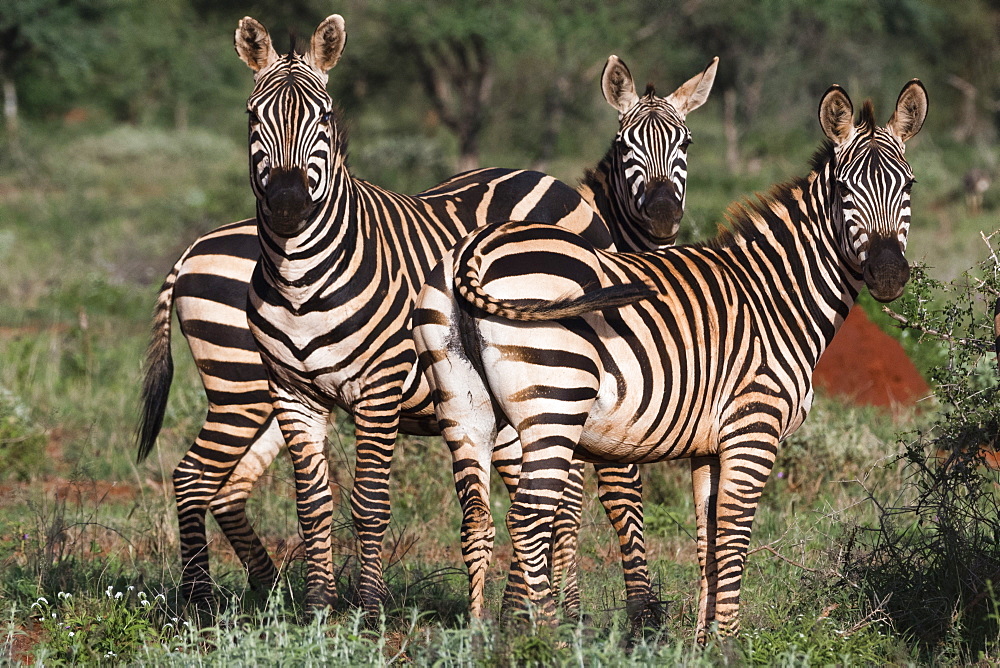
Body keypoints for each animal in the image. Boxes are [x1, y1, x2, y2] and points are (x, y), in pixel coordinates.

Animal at [139, 11, 720, 616]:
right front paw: (575, 609)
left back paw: (259, 588)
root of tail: (189, 251)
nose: (288, 204)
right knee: (194, 477)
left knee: (223, 486)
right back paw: (200, 598)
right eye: (254, 117)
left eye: (687, 143)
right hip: (241, 387)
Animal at [410, 81, 924, 636]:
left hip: (465, 407)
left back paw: (483, 636)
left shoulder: (709, 445)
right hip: (555, 401)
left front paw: (702, 640)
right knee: (527, 519)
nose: (889, 275)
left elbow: (707, 539)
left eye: (909, 187)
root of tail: (474, 250)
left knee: (477, 518)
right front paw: (728, 642)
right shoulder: (753, 427)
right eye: (846, 191)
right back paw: (549, 638)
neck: (776, 296)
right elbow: (734, 536)